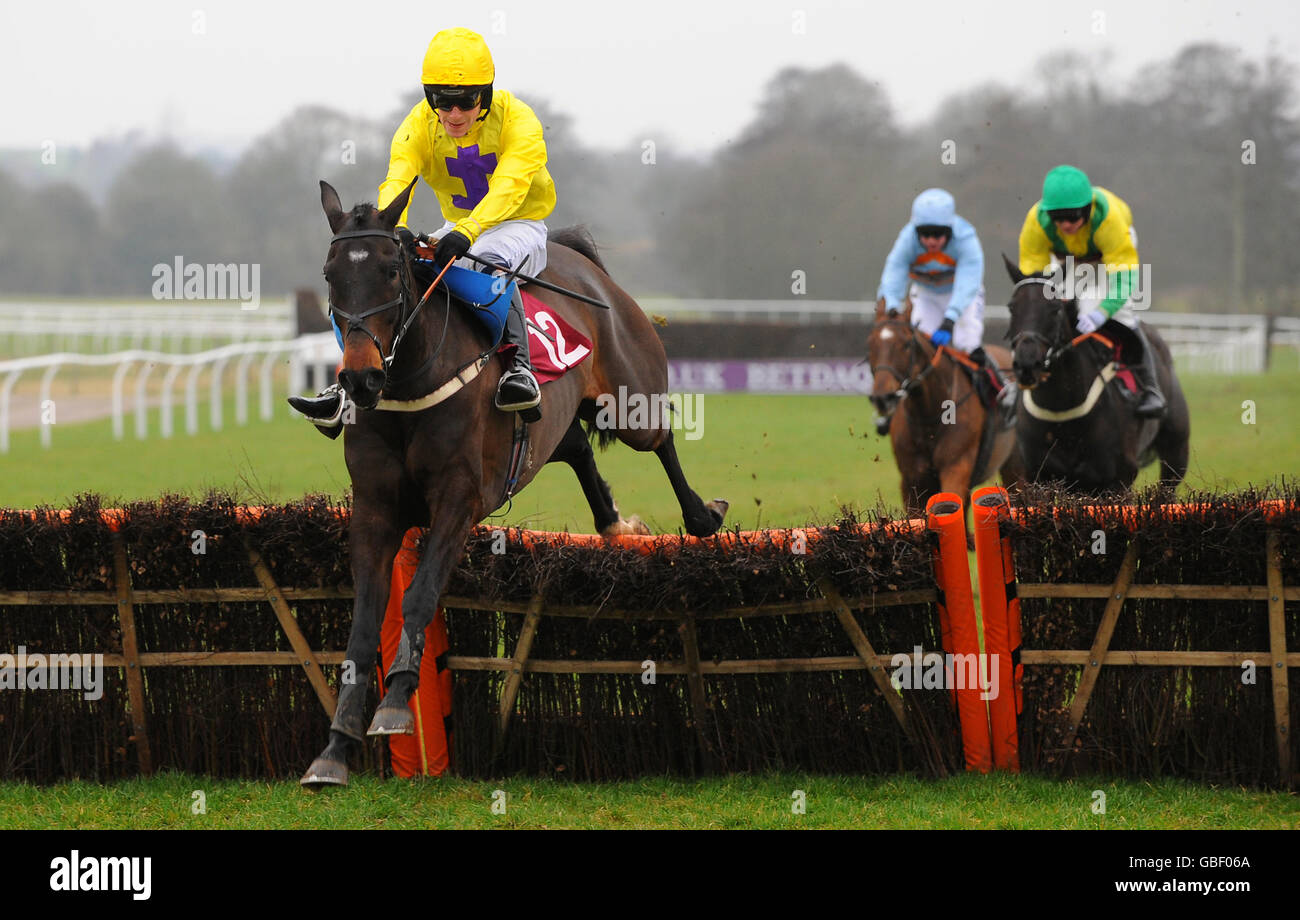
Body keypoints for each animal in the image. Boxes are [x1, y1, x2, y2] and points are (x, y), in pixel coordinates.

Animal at [302, 179, 728, 786]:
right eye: (330, 274)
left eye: (389, 269)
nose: (359, 379)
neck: (410, 383)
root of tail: (579, 259)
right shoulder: (374, 510)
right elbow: (363, 624)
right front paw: (335, 749)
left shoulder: (457, 501)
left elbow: (420, 596)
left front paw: (396, 705)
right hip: (552, 425)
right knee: (576, 447)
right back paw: (615, 524)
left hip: (630, 400)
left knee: (662, 436)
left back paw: (701, 516)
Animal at [867, 298, 1024, 538]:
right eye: (870, 344)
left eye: (906, 344)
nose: (883, 398)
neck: (930, 416)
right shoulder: (911, 480)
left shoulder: (956, 469)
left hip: (1014, 465)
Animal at [1002, 255, 1189, 492]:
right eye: (1012, 307)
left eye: (1055, 308)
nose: (1027, 363)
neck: (1063, 414)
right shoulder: (1037, 475)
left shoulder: (1119, 479)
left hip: (1176, 453)